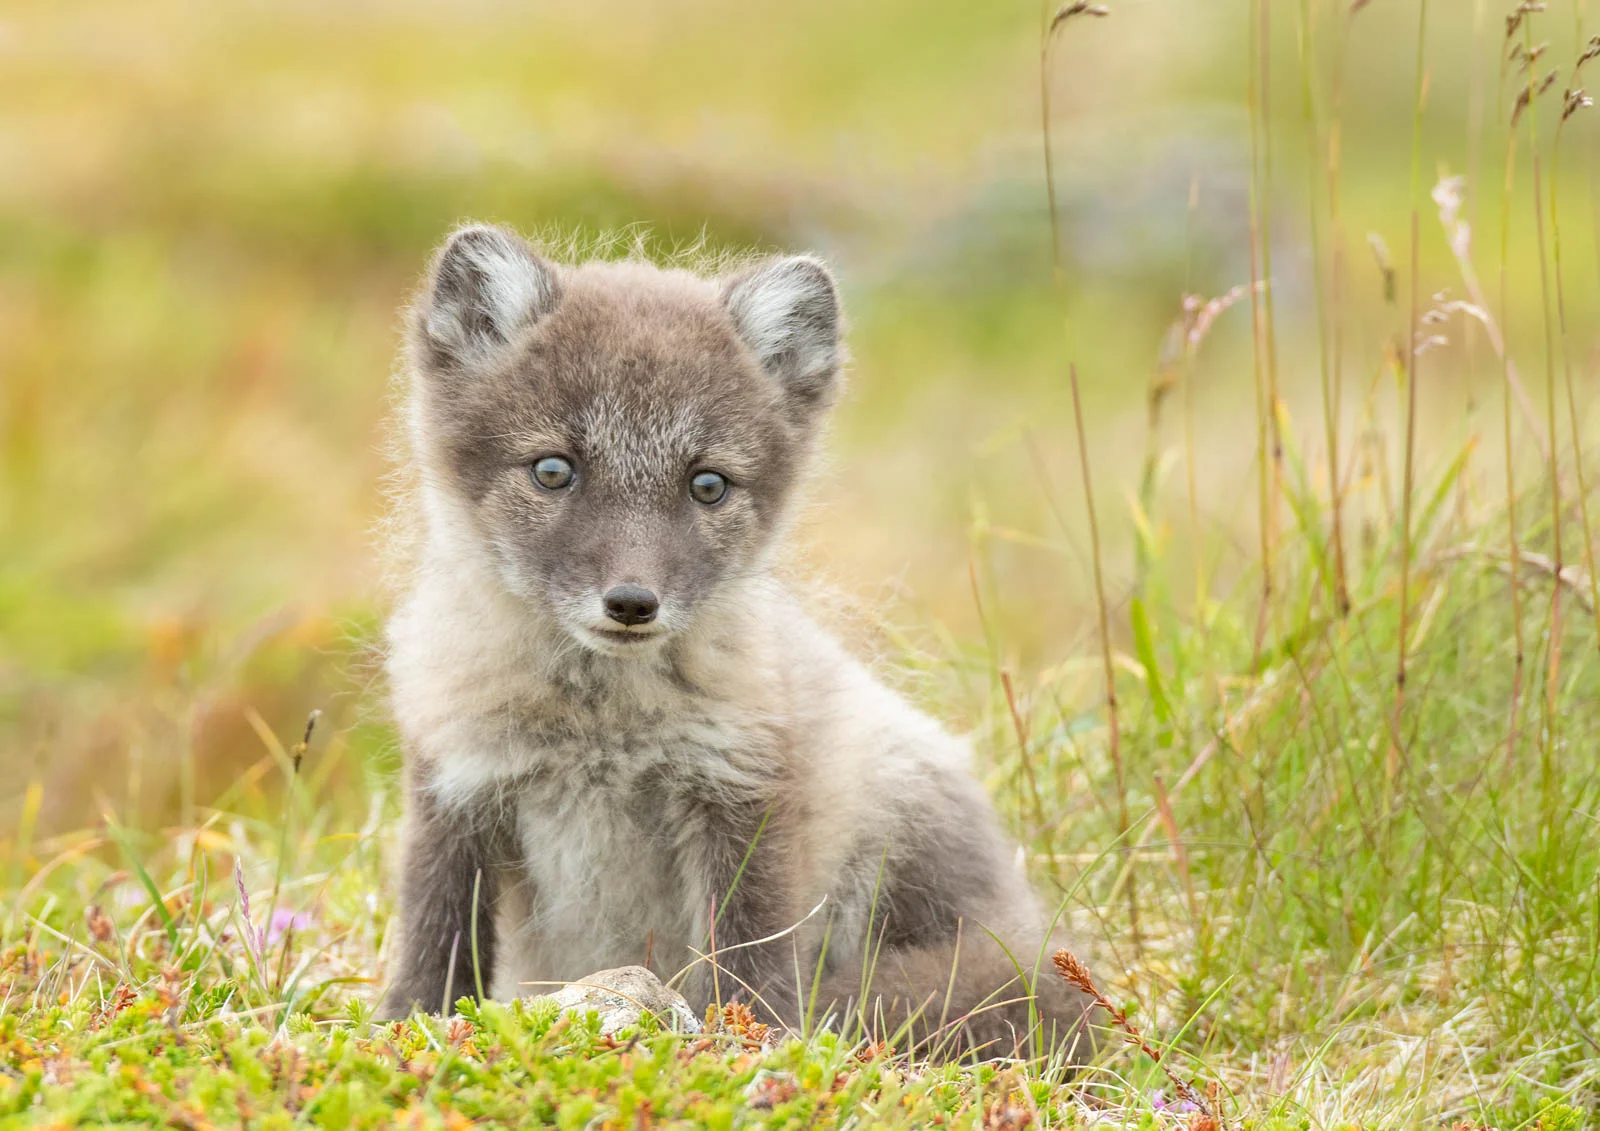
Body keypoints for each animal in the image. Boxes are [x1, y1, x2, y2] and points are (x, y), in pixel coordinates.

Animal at [376, 223, 1098, 1061]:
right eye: (553, 470)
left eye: (708, 484)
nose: (632, 602)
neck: (598, 728)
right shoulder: (453, 784)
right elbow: (435, 939)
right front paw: (407, 1025)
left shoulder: (742, 787)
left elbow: (749, 951)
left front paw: (754, 1039)